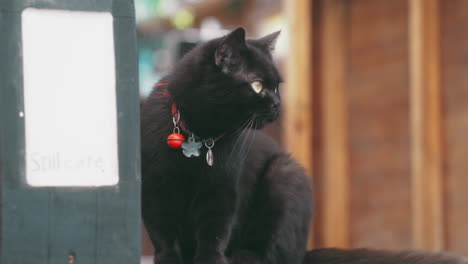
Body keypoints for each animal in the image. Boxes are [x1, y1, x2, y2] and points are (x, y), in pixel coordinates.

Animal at [140, 27, 468, 262]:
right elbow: (163, 236)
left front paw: (212, 260)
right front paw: (168, 260)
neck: (200, 134)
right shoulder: (154, 191)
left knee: (277, 255)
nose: (277, 104)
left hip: (286, 173)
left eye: (276, 86)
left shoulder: (222, 191)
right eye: (257, 85)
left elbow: (213, 235)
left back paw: (245, 257)